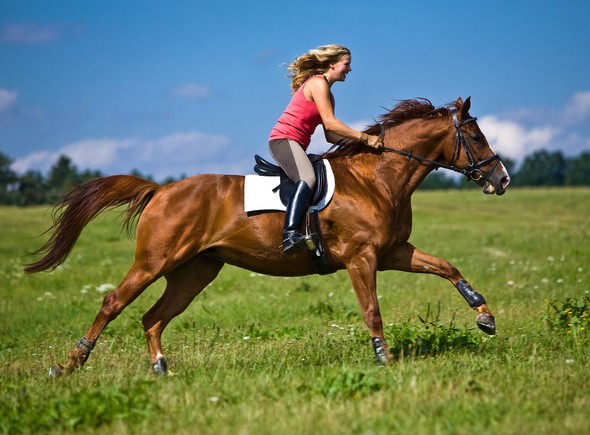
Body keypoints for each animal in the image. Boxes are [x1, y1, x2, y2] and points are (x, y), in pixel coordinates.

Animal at [25, 97, 512, 376]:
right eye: (474, 135)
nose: (502, 179)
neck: (377, 177)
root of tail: (162, 190)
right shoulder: (361, 257)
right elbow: (372, 310)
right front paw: (383, 359)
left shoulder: (393, 251)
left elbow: (447, 267)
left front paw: (485, 317)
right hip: (154, 262)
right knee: (113, 303)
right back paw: (69, 364)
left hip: (195, 271)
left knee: (153, 318)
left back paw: (161, 370)